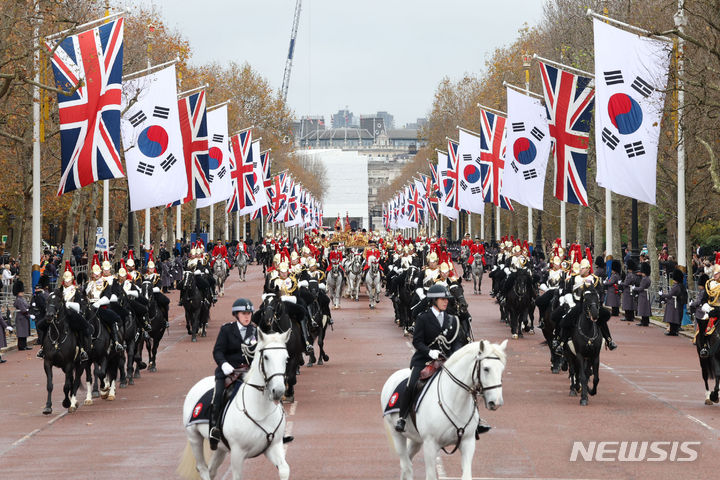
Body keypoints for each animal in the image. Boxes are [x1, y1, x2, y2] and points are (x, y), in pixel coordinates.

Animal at [380, 338, 510, 480]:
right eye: (486, 369)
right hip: (397, 434)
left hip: (416, 439)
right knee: (406, 465)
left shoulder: (468, 442)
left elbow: (466, 475)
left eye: (502, 368)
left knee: (408, 461)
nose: (496, 402)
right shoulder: (430, 445)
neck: (455, 401)